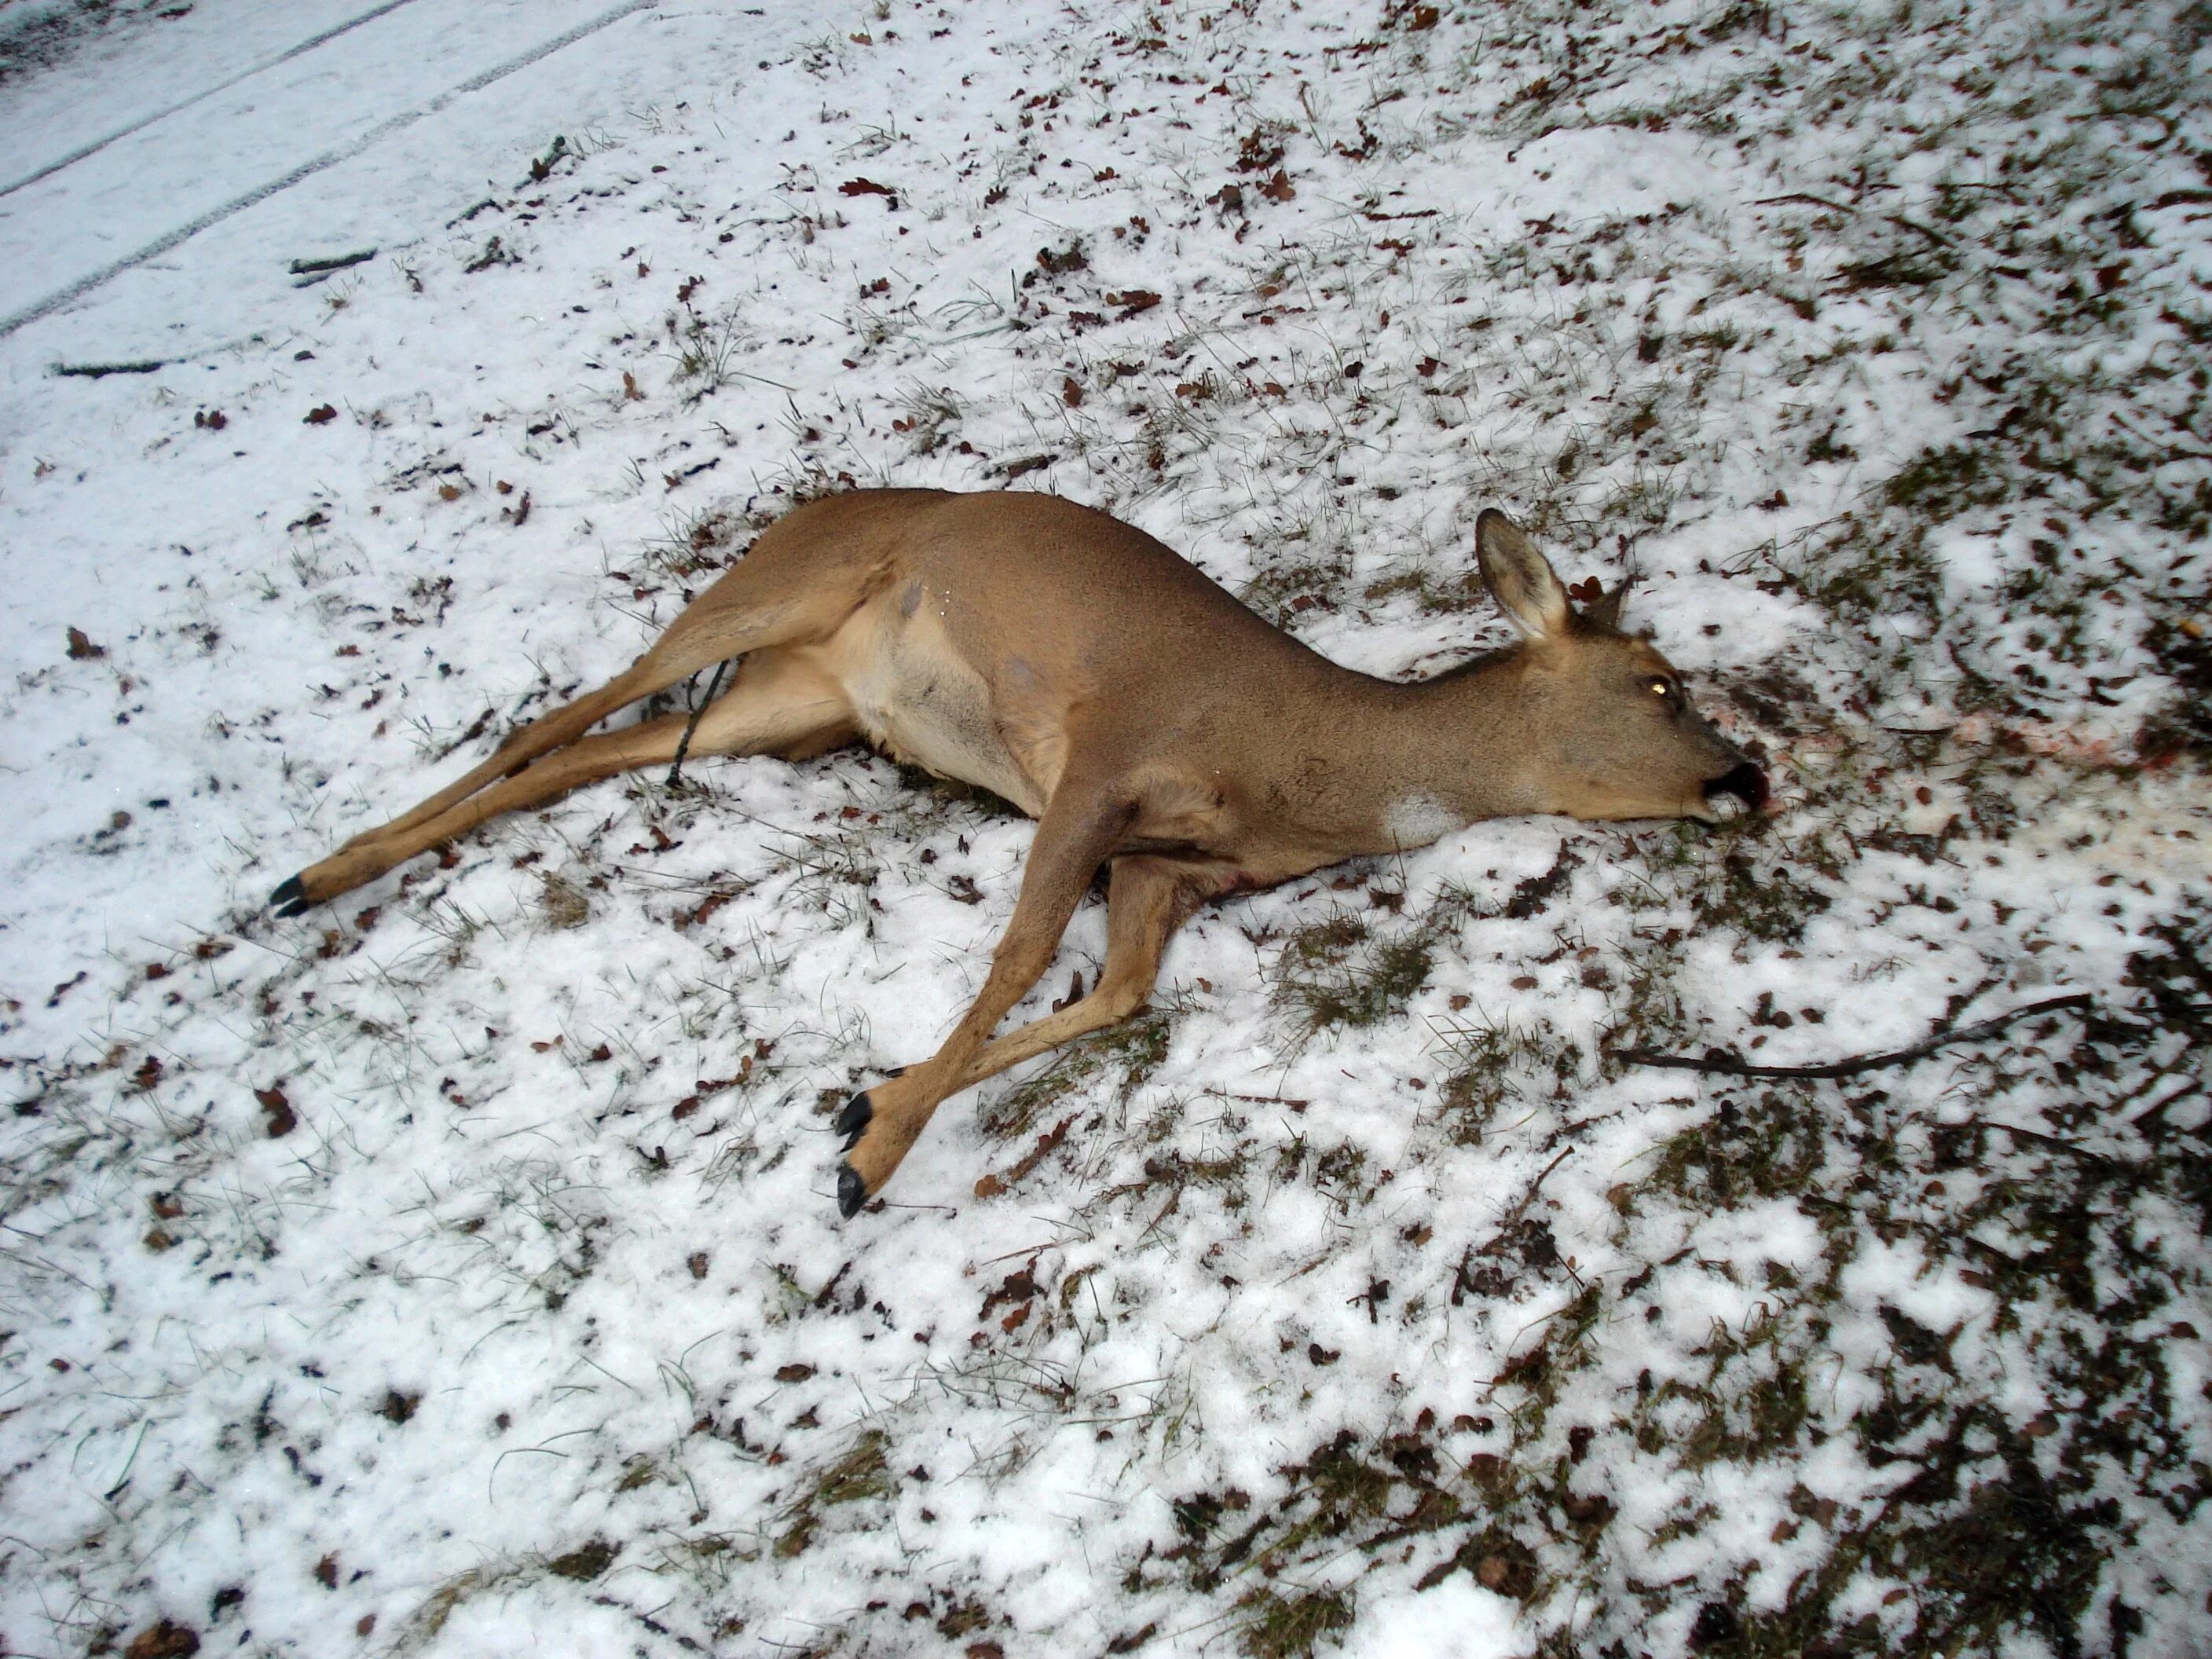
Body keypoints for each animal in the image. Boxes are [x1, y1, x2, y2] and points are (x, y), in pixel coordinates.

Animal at [272, 486, 1760, 1212]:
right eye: (1660, 682)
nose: (1748, 776)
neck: (1307, 764)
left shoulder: (1169, 867)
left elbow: (1116, 993)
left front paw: (865, 1104)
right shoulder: (1102, 760)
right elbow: (1024, 946)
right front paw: (870, 1158)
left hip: (800, 706)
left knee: (589, 754)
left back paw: (323, 876)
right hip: (776, 590)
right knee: (564, 710)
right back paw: (311, 872)